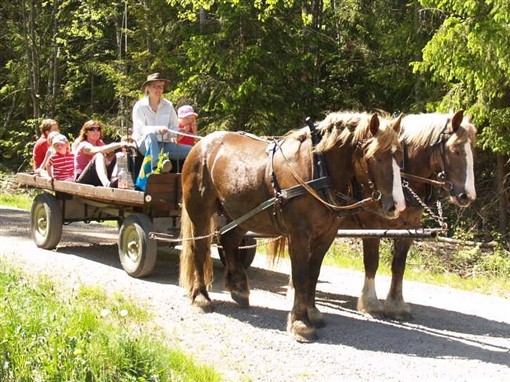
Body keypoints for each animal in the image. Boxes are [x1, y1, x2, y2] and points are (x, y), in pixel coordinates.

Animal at [179, 112, 406, 342]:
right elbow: (300, 275)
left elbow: (313, 273)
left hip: (240, 214)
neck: (319, 168)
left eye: (399, 157)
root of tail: (202, 144)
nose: (397, 206)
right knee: (200, 249)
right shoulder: (298, 234)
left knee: (229, 241)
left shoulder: (327, 234)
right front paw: (301, 323)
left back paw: (239, 288)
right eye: (375, 155)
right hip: (200, 213)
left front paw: (312, 312)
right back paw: (201, 297)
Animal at [342, 110, 478, 320]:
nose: (467, 196)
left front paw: (396, 305)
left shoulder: (409, 228)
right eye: (455, 150)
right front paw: (371, 304)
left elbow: (399, 266)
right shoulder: (371, 227)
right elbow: (372, 262)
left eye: (473, 150)